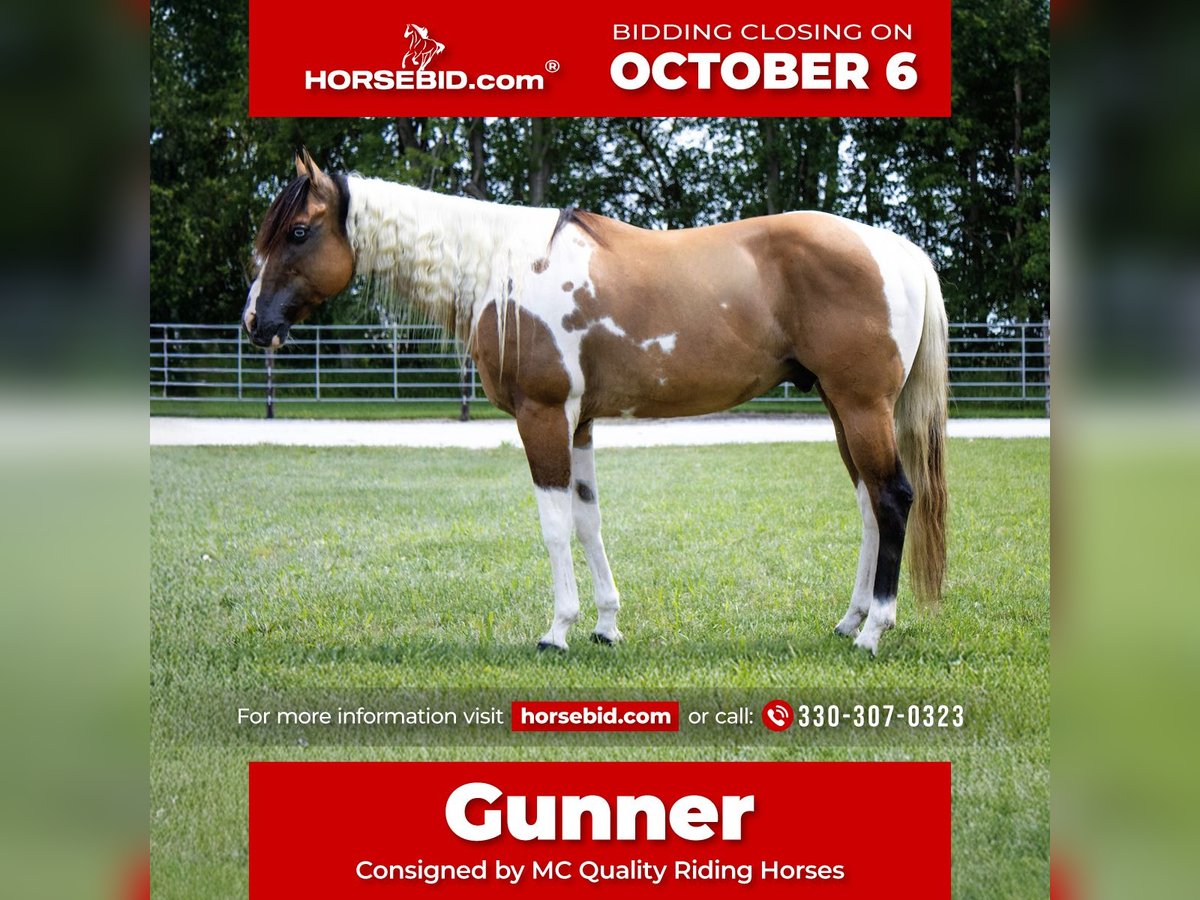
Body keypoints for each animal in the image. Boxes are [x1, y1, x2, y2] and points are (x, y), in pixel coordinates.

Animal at [243, 151, 948, 656]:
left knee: (893, 498)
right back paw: (849, 619)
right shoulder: (577, 424)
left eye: (298, 231)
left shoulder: (543, 416)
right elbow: (588, 520)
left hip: (862, 406)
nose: (254, 323)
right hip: (840, 407)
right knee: (868, 505)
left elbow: (555, 525)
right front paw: (606, 626)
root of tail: (899, 249)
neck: (504, 270)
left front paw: (557, 631)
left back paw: (873, 631)